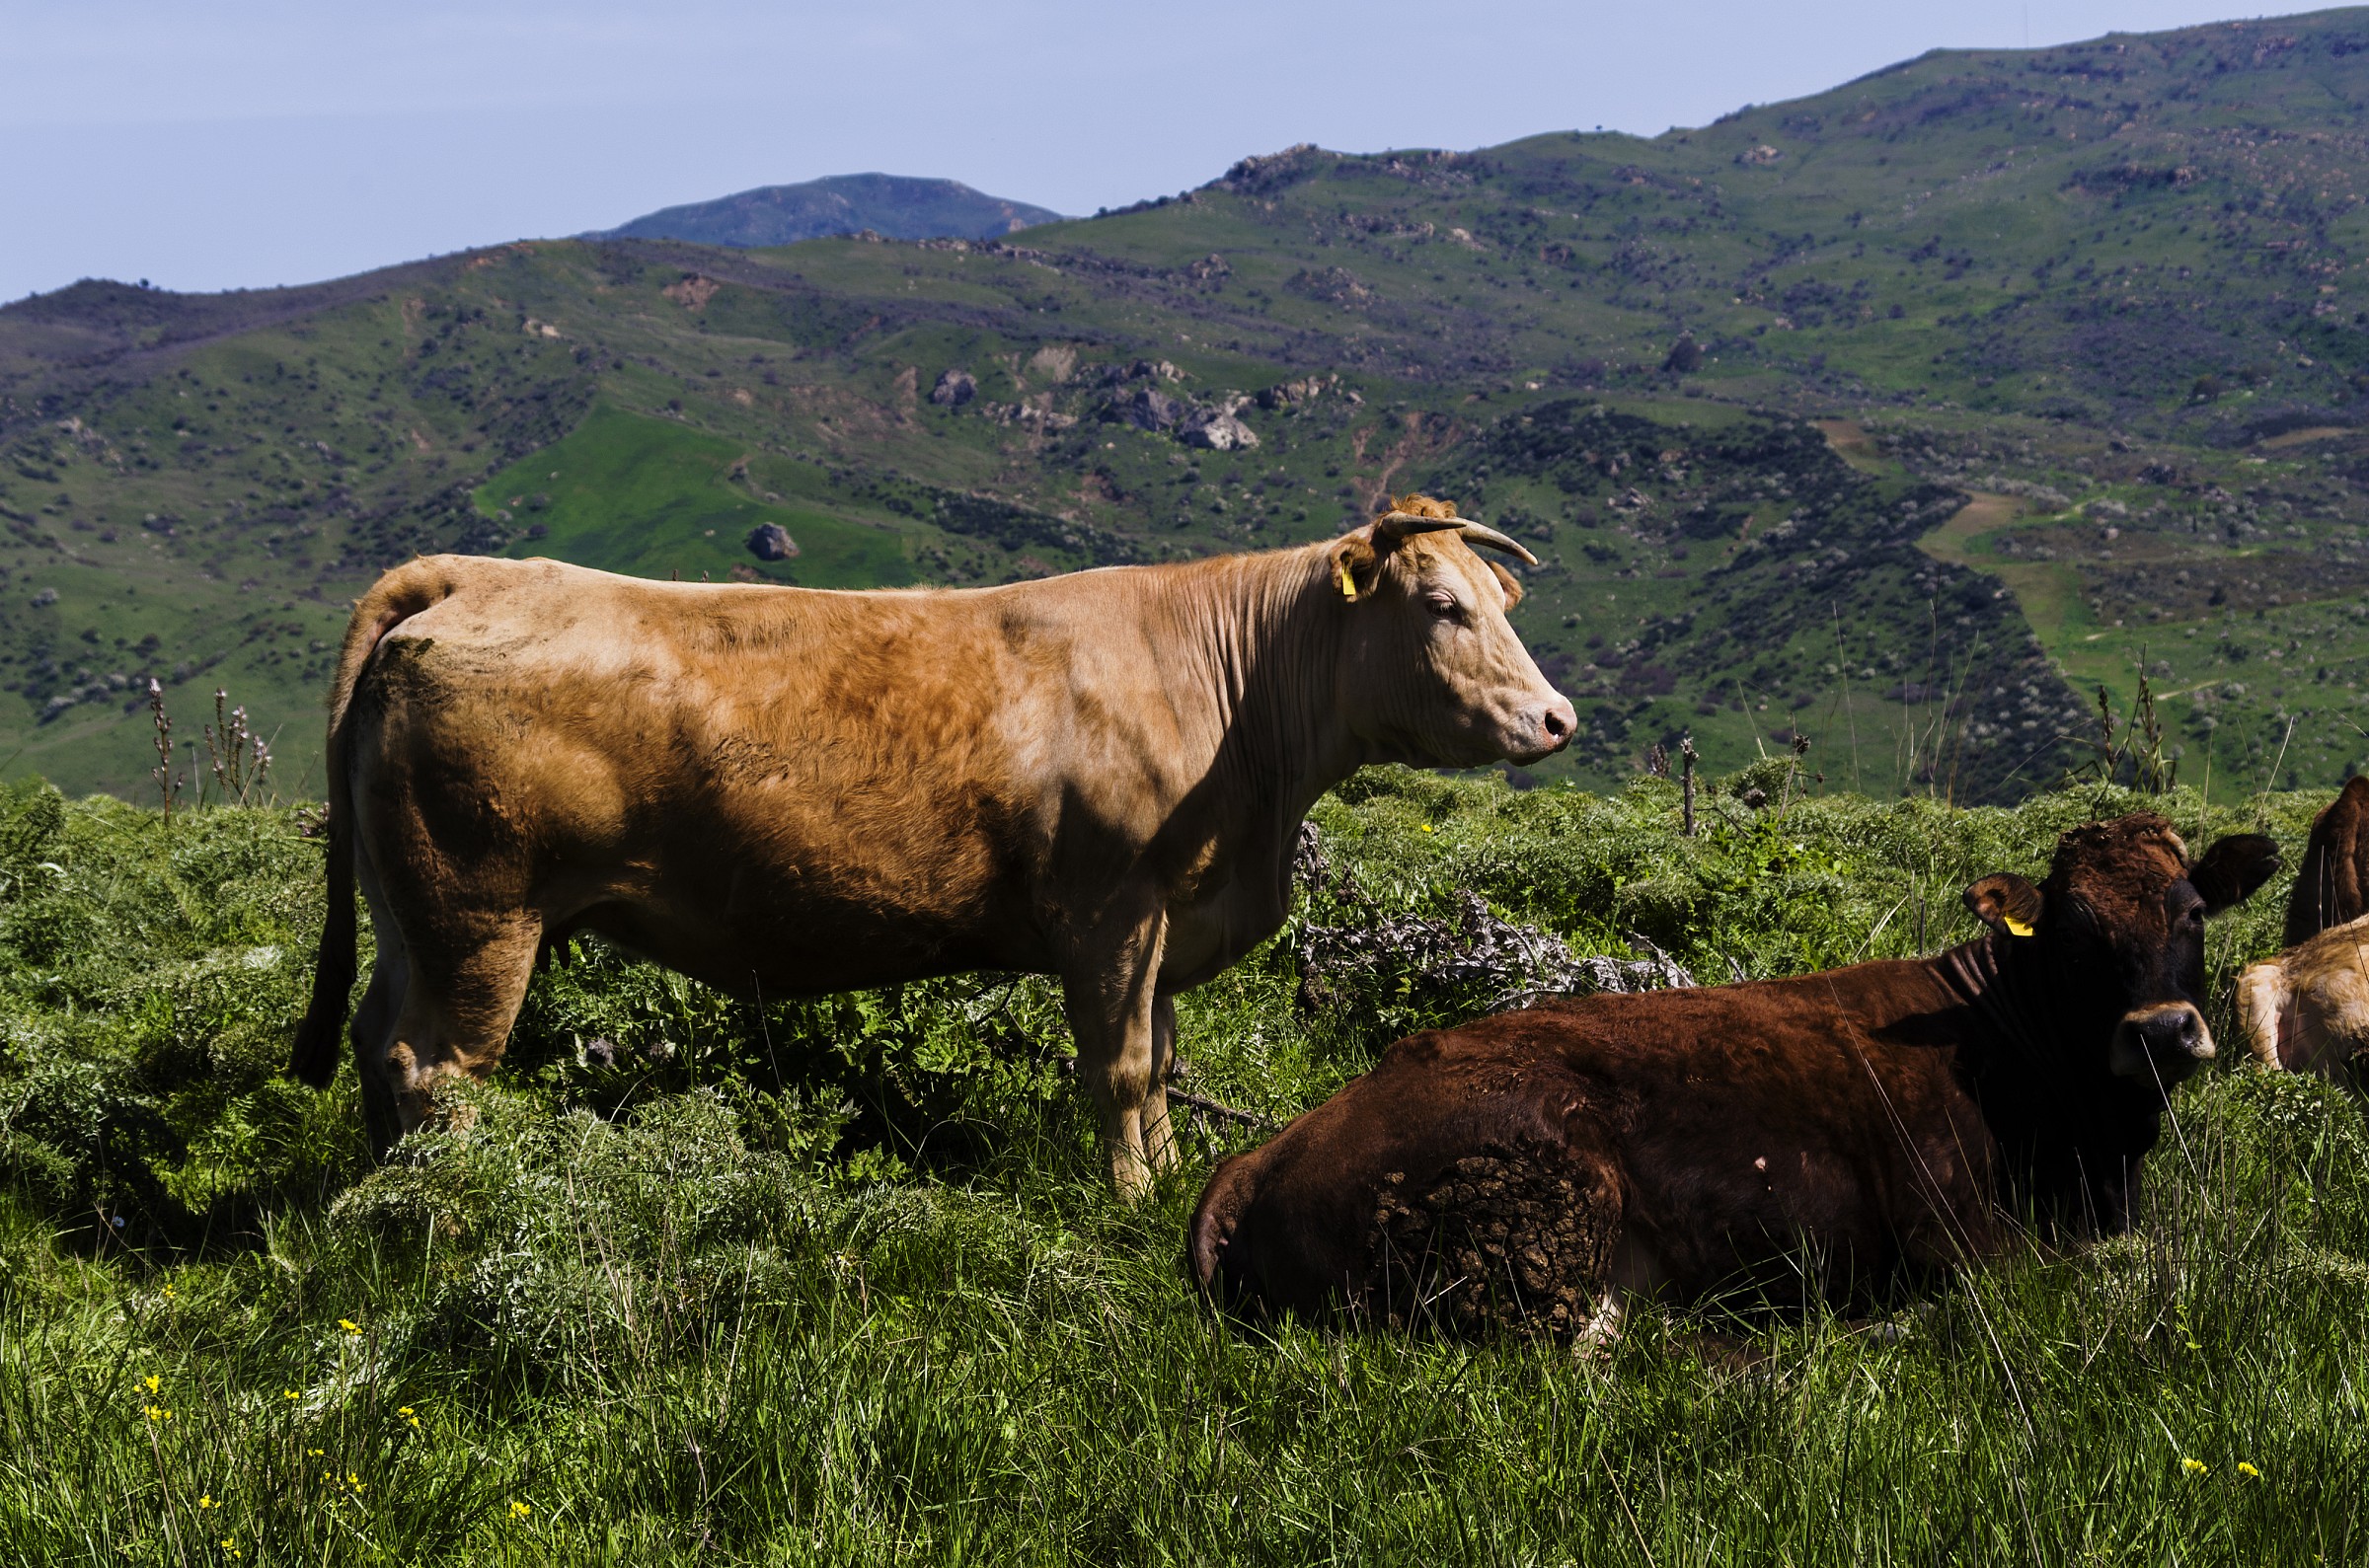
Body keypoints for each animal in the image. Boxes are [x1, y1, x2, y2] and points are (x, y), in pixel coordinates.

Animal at [289, 496, 1575, 1194]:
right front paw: (1125, 1197)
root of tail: (469, 576)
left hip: (413, 913)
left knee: (375, 1040)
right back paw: (454, 1211)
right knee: (439, 1069)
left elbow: (1159, 1061)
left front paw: (1166, 1180)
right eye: (1443, 606)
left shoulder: (1165, 922)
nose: (1558, 717)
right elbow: (1116, 1066)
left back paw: (374, 1200)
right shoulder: (1109, 910)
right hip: (479, 916)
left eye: (1502, 600)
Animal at [1190, 814, 2279, 1333]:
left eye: (2192, 911)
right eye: (2072, 934)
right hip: (1541, 1209)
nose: (2161, 1031)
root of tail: (1258, 1155)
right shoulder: (1953, 1226)